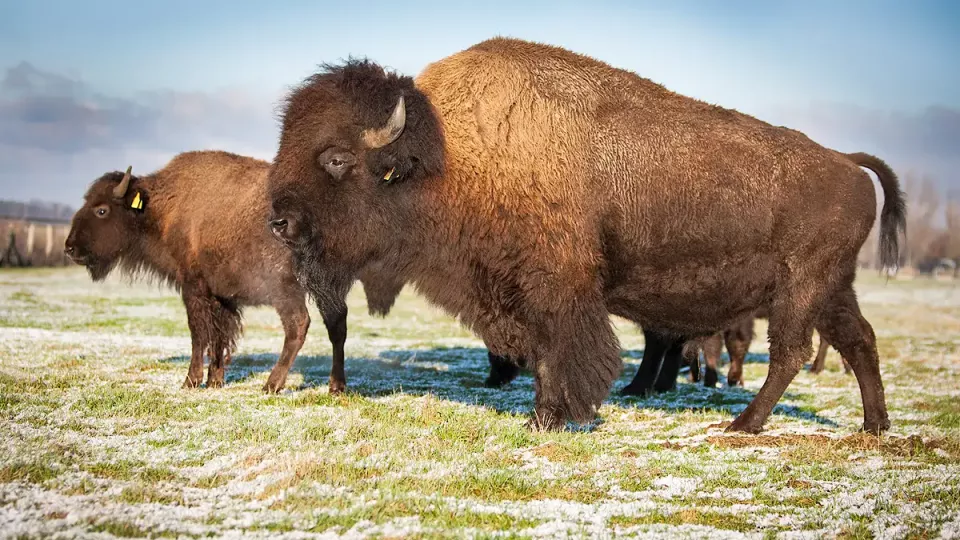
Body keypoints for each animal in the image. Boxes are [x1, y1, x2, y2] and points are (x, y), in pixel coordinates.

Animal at [266, 38, 905, 433]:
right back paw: (875, 426)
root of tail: (848, 163)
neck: (449, 157)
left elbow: (563, 351)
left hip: (801, 289)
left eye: (336, 159)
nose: (279, 222)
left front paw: (549, 417)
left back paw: (742, 424)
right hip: (832, 289)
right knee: (860, 341)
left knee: (792, 352)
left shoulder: (559, 288)